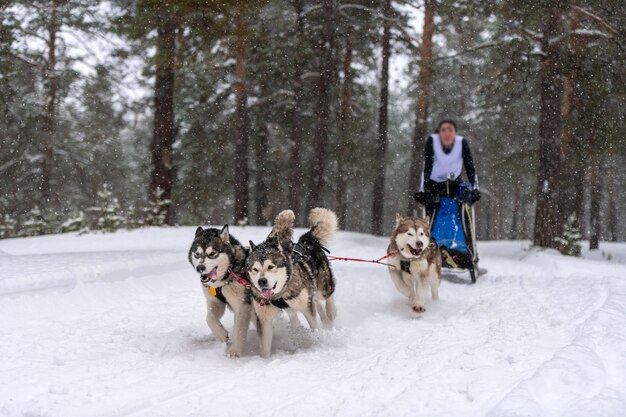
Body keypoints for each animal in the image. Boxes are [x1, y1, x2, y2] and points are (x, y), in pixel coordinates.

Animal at [188, 224, 251, 358]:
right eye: (197, 254)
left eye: (212, 253)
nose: (200, 268)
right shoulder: (216, 302)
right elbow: (209, 318)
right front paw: (221, 334)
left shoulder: (242, 306)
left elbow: (239, 329)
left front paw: (234, 351)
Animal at [247, 208, 336, 358]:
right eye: (255, 269)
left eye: (271, 267)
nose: (261, 281)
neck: (279, 295)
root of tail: (306, 241)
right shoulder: (265, 318)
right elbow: (265, 346)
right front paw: (264, 360)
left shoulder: (306, 307)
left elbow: (314, 326)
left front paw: (318, 342)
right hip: (296, 305)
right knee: (312, 305)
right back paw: (324, 321)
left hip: (322, 286)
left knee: (327, 296)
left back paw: (331, 313)